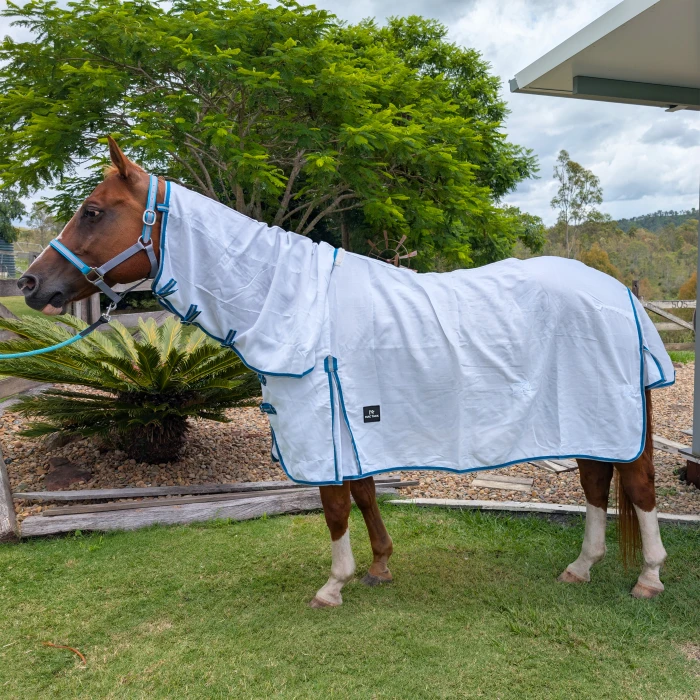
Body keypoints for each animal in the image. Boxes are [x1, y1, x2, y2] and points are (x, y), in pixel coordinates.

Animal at [19, 139, 668, 604]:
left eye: (92, 211)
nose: (30, 283)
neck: (290, 299)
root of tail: (620, 293)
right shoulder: (351, 420)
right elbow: (364, 493)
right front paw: (379, 567)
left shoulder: (320, 421)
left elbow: (335, 505)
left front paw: (334, 584)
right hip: (584, 416)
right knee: (595, 484)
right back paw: (580, 568)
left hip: (613, 416)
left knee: (635, 487)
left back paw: (649, 578)